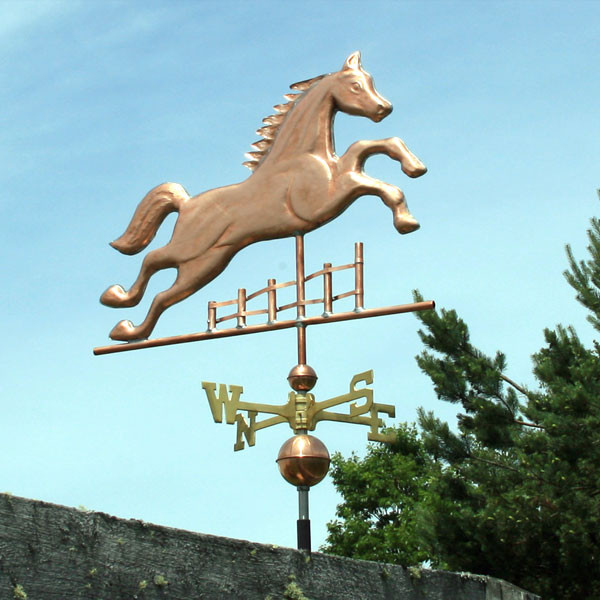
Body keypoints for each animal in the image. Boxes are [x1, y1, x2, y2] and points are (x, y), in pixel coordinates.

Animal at [101, 52, 424, 340]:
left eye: (370, 81)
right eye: (356, 85)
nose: (384, 108)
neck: (300, 154)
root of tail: (186, 203)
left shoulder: (341, 172)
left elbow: (367, 146)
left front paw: (414, 167)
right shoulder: (323, 201)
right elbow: (372, 180)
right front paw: (406, 220)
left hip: (205, 263)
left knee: (163, 292)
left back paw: (126, 322)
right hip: (191, 249)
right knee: (152, 262)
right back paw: (118, 305)